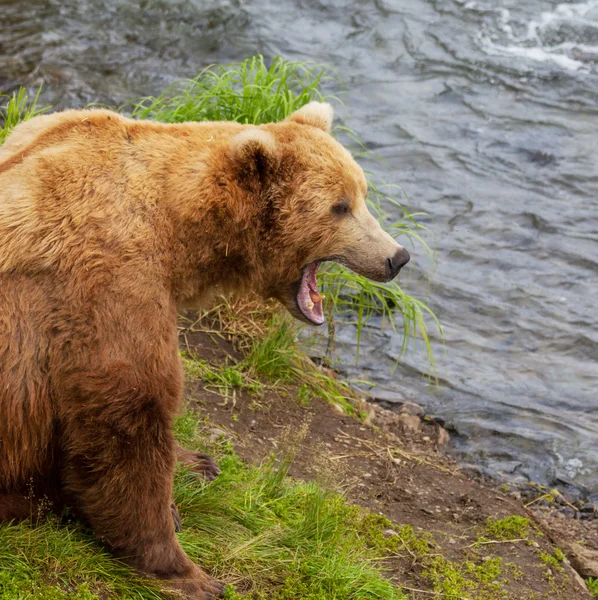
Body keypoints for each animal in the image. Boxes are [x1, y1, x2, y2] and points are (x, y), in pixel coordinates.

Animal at [0, 102, 408, 596]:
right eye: (340, 206)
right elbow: (126, 418)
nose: (397, 257)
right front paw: (189, 572)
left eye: (363, 192)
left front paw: (195, 462)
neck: (178, 231)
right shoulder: (107, 280)